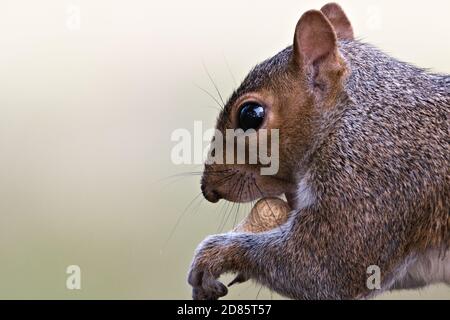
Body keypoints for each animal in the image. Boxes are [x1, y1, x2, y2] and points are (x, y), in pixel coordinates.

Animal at [187, 2, 450, 298]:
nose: (209, 189)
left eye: (250, 115)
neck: (348, 117)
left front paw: (214, 254)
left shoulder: (371, 179)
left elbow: (323, 268)